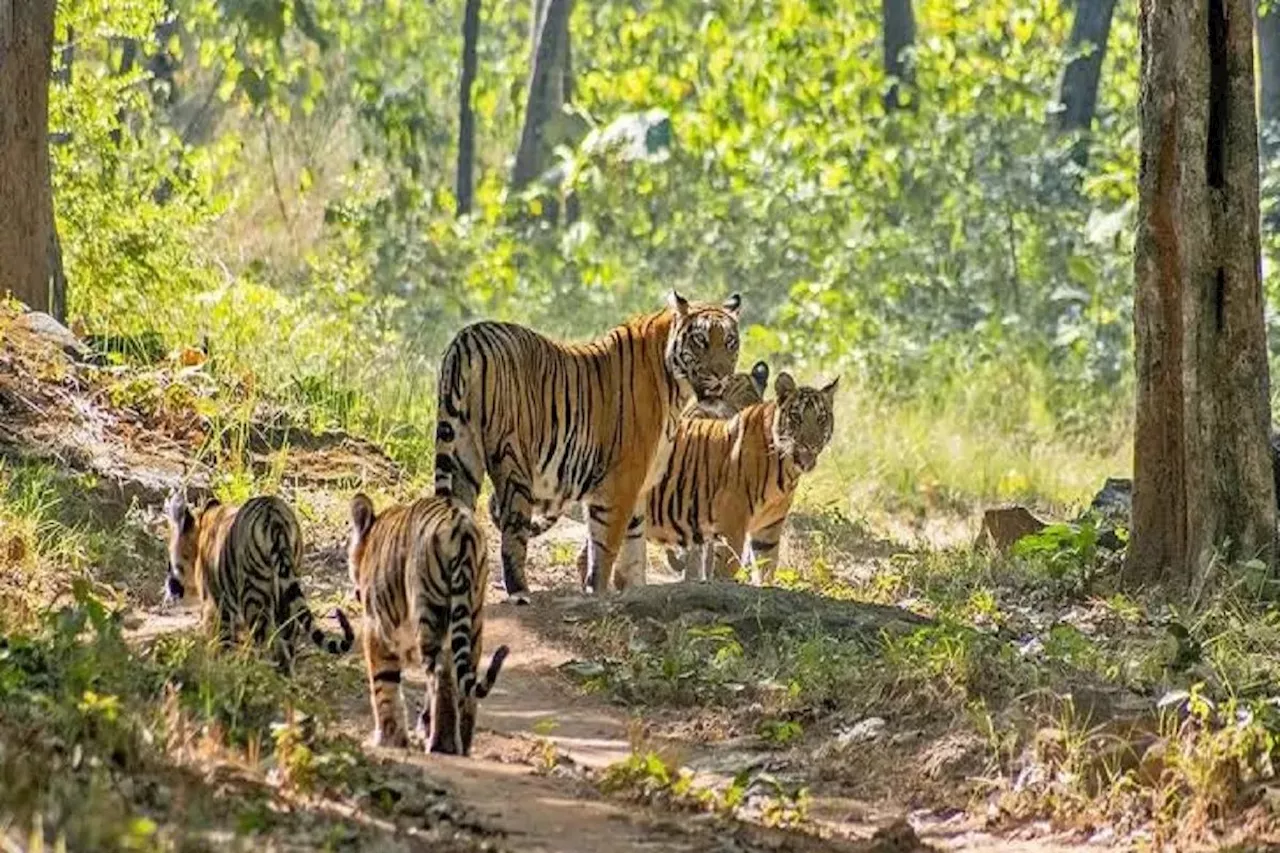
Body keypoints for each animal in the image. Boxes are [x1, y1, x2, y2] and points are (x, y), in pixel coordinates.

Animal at [165, 491, 358, 671]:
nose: (169, 586)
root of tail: (274, 518)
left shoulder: (214, 606)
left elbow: (220, 643)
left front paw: (217, 667)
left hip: (253, 595)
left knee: (269, 644)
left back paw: (262, 673)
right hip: (286, 590)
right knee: (287, 641)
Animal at [350, 489, 514, 753]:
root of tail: (462, 527)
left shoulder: (376, 629)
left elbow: (384, 686)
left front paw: (388, 740)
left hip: (429, 613)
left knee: (440, 674)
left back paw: (441, 745)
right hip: (473, 617)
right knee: (464, 679)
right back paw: (462, 746)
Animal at [435, 290, 747, 596]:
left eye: (730, 342)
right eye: (700, 340)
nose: (721, 376)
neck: (675, 386)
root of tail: (470, 337)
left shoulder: (640, 484)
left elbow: (634, 551)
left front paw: (634, 591)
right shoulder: (620, 482)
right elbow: (605, 549)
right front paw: (597, 593)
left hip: (462, 455)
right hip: (513, 459)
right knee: (513, 531)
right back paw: (520, 592)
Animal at [581, 368, 839, 589]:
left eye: (821, 418)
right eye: (796, 417)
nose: (811, 444)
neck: (787, 468)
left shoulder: (769, 528)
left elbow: (767, 567)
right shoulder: (732, 522)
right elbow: (727, 567)